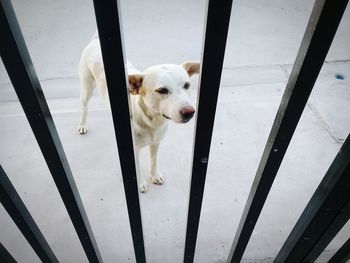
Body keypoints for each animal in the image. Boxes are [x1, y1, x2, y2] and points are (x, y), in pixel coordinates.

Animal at [79, 34, 200, 193]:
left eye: (187, 85)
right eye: (162, 90)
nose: (189, 112)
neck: (152, 121)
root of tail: (95, 41)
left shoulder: (156, 142)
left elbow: (154, 161)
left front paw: (155, 175)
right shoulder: (133, 151)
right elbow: (136, 170)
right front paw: (141, 183)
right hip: (87, 87)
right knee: (84, 107)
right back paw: (82, 124)